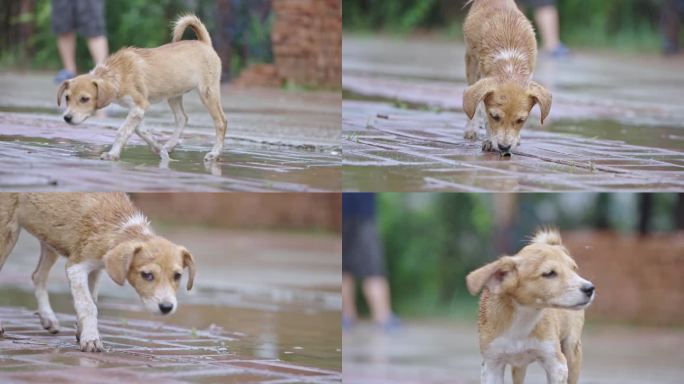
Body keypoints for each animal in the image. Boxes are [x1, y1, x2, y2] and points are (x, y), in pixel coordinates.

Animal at [0, 194, 195, 352]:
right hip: (8, 232)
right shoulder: (76, 266)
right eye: (146, 275)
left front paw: (83, 331)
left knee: (38, 275)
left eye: (177, 276)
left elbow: (91, 299)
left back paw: (48, 318)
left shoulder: (95, 269)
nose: (166, 307)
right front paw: (91, 338)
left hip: (49, 237)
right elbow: (88, 305)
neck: (119, 227)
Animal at [56, 14, 227, 162]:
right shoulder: (138, 109)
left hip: (207, 93)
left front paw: (113, 154)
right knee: (182, 118)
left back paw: (214, 154)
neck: (117, 73)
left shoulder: (139, 106)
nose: (67, 118)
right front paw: (158, 148)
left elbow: (122, 131)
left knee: (221, 122)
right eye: (67, 97)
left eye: (84, 99)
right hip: (173, 95)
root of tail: (204, 43)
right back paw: (170, 145)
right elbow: (140, 130)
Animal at [462, 0, 552, 156]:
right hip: (471, 65)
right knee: (472, 106)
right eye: (495, 116)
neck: (510, 66)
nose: (504, 147)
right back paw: (471, 128)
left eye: (521, 120)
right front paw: (489, 140)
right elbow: (484, 116)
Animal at [464, 230, 592, 384]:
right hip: (518, 366)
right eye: (549, 273)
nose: (590, 288)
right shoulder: (492, 364)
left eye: (574, 269)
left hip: (571, 350)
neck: (523, 318)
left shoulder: (556, 363)